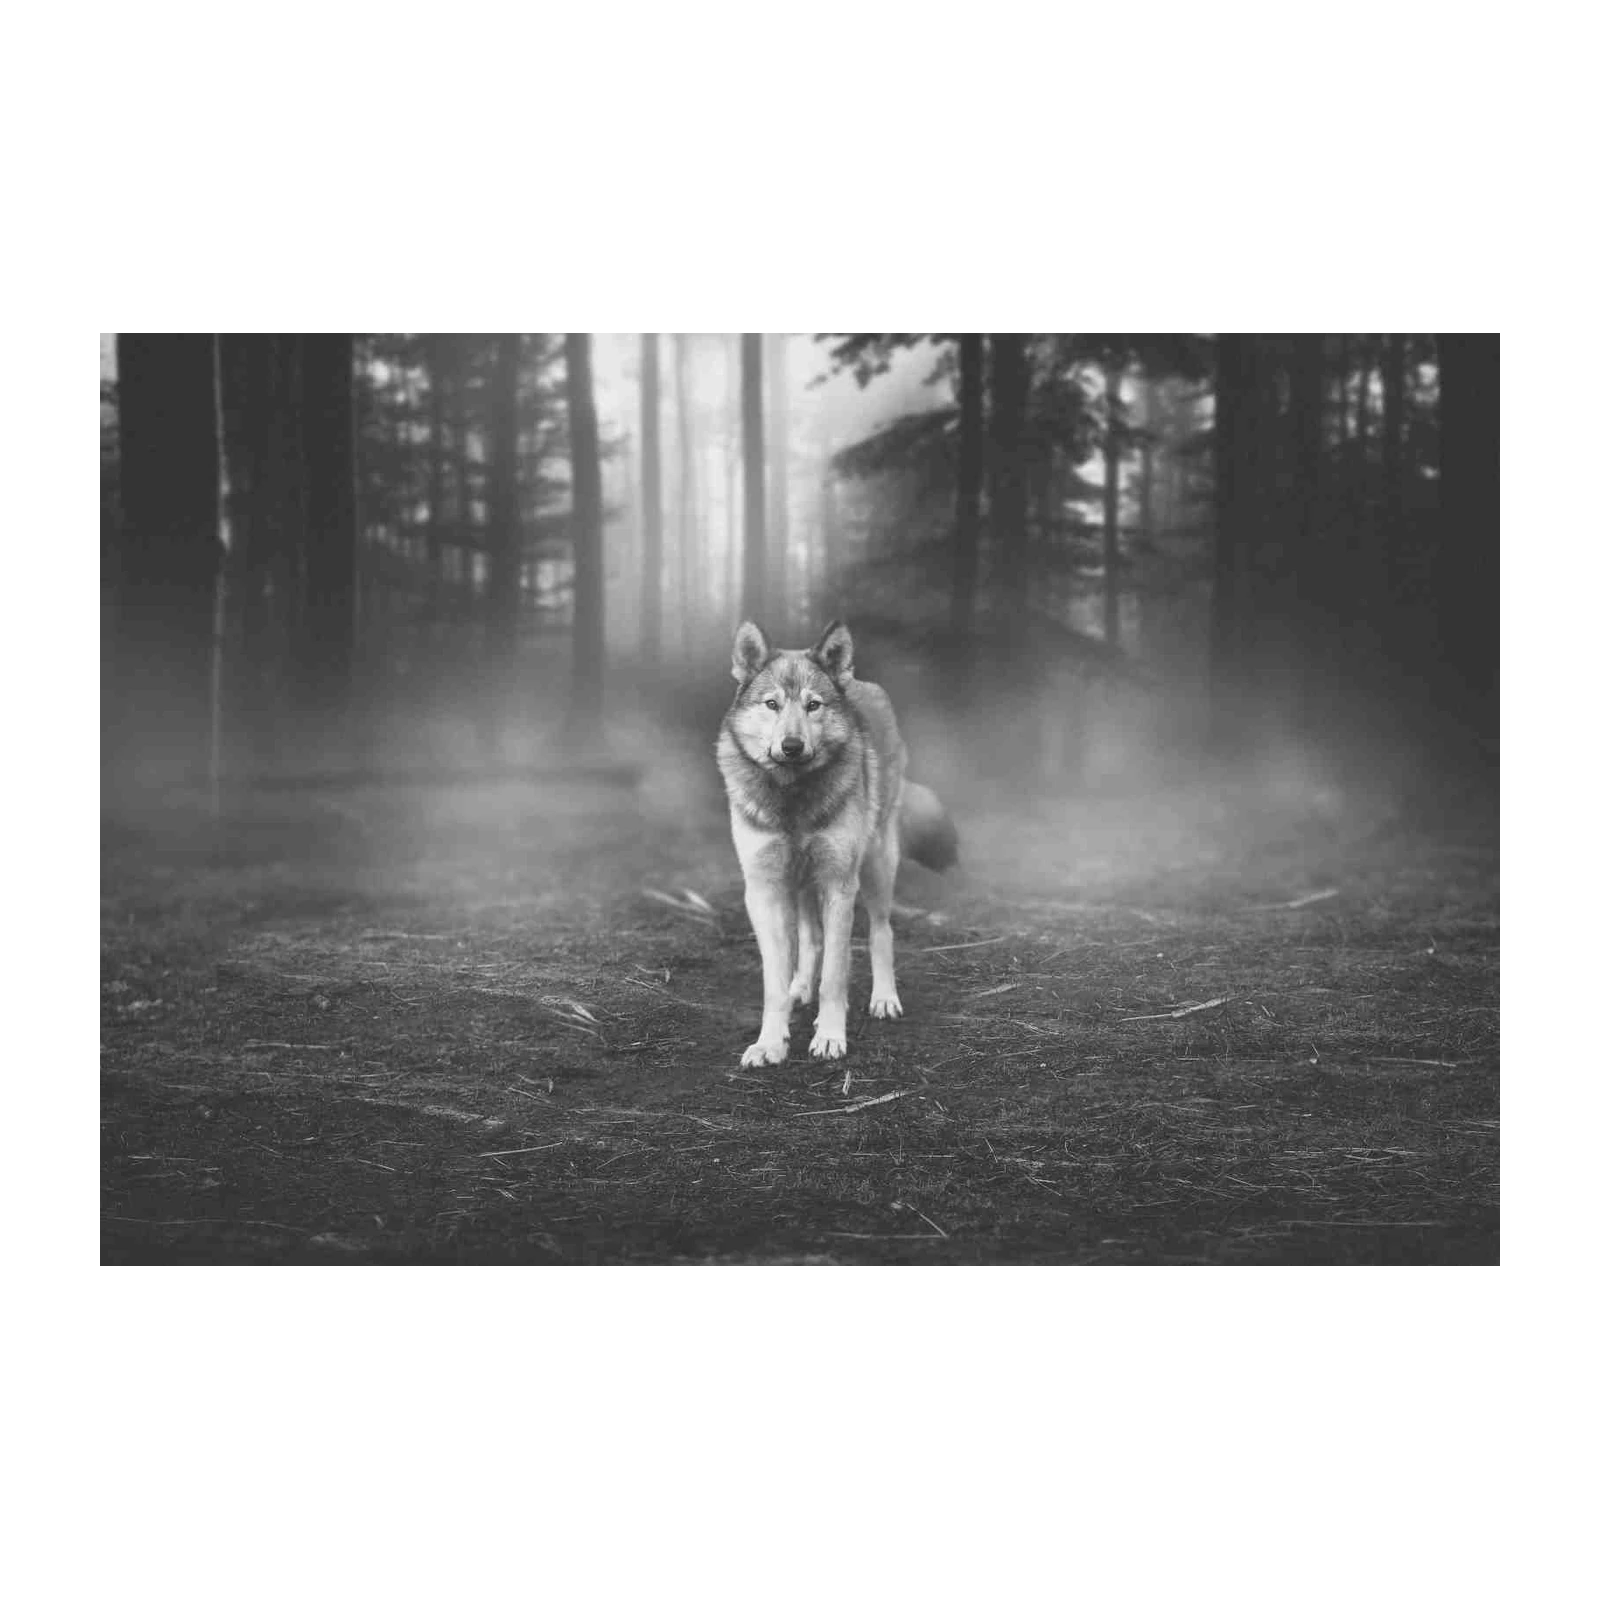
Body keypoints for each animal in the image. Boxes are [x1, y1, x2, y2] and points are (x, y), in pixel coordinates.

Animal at [717, 619, 958, 1067]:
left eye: (813, 705)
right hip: (799, 884)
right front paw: (770, 1042)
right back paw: (799, 989)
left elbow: (835, 974)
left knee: (881, 932)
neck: (793, 798)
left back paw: (884, 998)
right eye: (772, 704)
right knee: (810, 940)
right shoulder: (763, 891)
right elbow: (774, 982)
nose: (792, 746)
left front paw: (829, 1037)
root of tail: (861, 682)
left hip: (876, 867)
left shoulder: (839, 886)